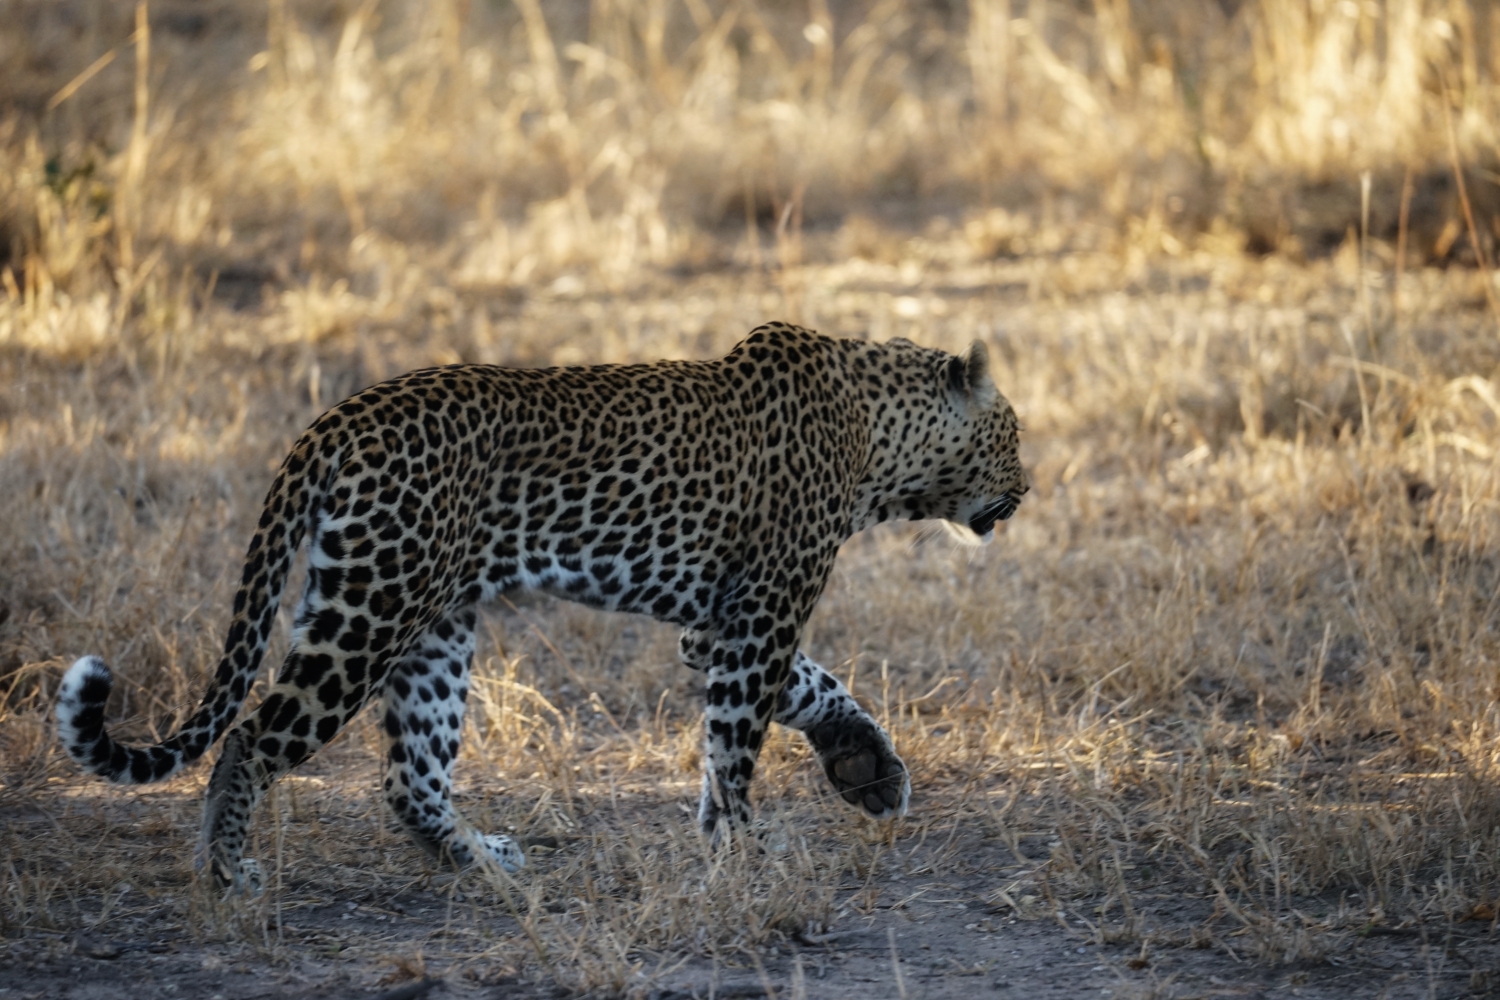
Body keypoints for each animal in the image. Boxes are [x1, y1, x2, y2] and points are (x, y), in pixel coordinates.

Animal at [52, 322, 1026, 893]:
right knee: (253, 738)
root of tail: (335, 420)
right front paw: (746, 848)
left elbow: (796, 693)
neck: (878, 442)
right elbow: (738, 741)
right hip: (370, 615)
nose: (1030, 487)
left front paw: (862, 768)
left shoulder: (717, 625)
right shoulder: (759, 616)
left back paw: (486, 862)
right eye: (1014, 434)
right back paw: (230, 872)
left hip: (430, 626)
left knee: (409, 778)